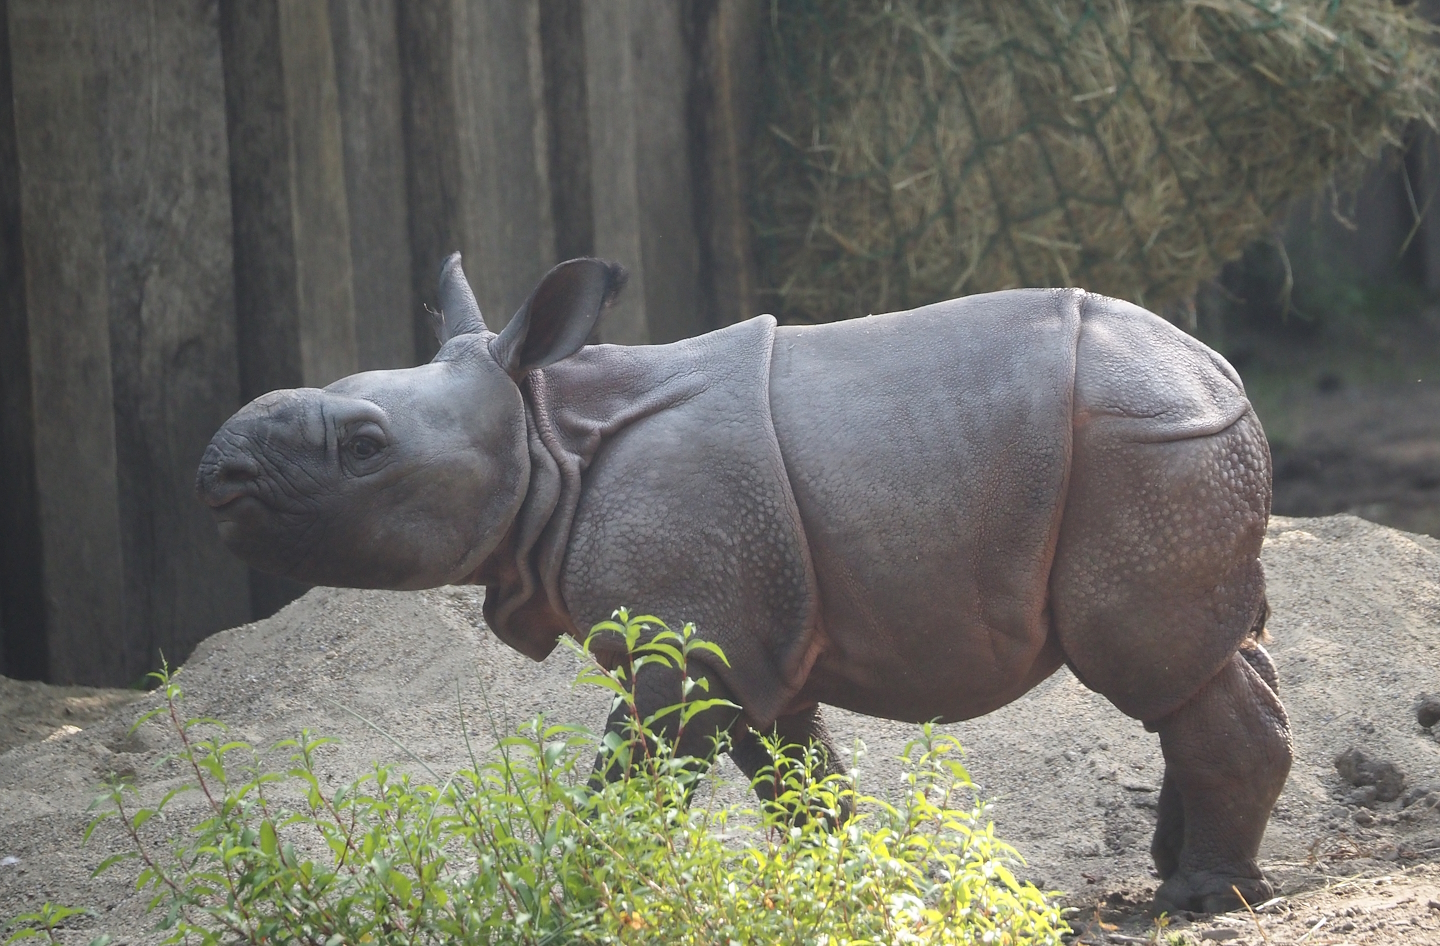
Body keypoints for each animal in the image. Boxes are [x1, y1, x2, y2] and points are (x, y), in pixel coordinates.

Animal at [197, 254, 1291, 914]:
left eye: (365, 446)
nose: (216, 469)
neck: (544, 431)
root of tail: (1221, 368)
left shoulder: (685, 647)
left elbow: (631, 786)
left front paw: (579, 899)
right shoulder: (751, 641)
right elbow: (800, 785)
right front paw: (857, 892)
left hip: (1139, 446)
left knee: (1156, 665)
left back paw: (1203, 901)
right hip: (1164, 445)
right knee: (1212, 655)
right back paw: (1185, 875)